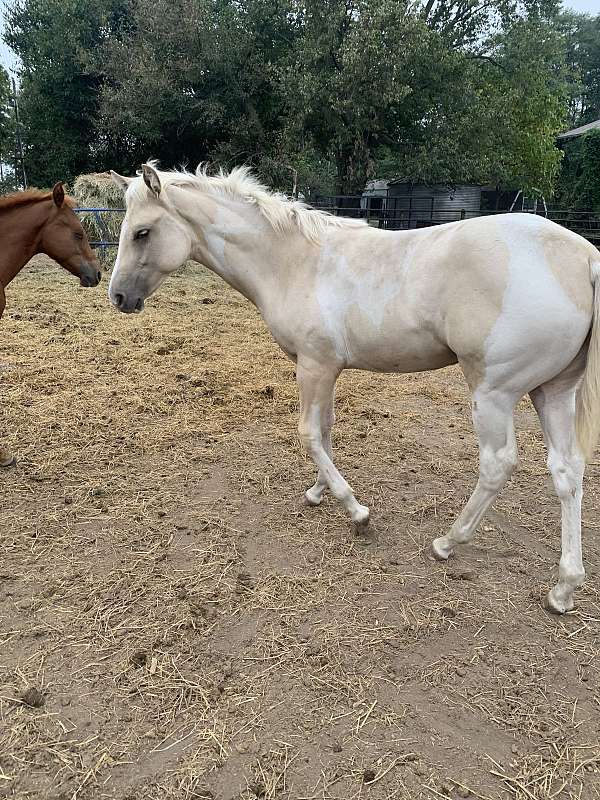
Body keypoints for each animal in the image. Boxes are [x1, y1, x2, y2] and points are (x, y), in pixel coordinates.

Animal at [109, 162, 600, 612]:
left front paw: (356, 511)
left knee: (498, 464)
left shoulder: (314, 366)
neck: (295, 262)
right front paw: (317, 493)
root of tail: (583, 258)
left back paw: (447, 542)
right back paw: (564, 588)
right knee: (567, 471)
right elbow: (326, 430)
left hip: (493, 394)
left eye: (142, 232)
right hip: (552, 392)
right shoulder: (326, 370)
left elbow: (309, 433)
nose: (118, 297)